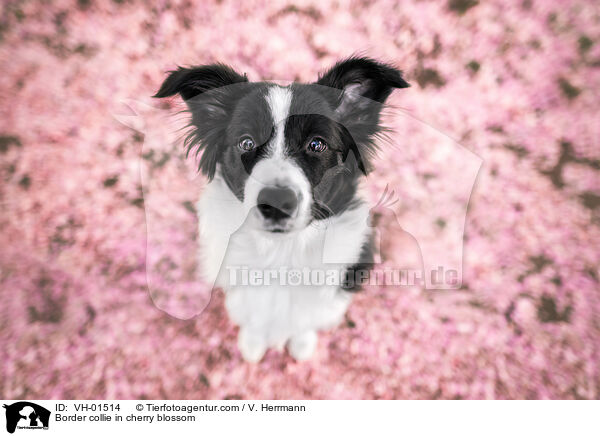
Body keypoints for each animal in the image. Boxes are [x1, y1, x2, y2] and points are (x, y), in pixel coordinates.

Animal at [154, 57, 408, 362]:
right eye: (246, 142)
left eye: (317, 144)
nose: (275, 202)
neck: (281, 254)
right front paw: (252, 345)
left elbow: (306, 320)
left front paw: (302, 345)